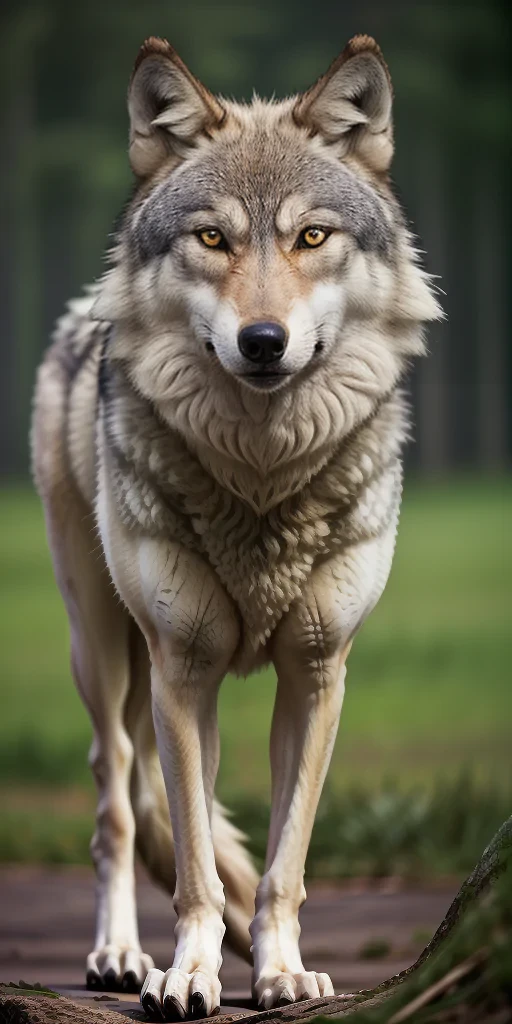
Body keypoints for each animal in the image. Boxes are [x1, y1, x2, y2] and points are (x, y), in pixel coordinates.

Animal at [32, 33, 440, 1019]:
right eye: (212, 237)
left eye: (311, 236)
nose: (263, 341)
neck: (261, 482)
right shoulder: (184, 670)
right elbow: (194, 870)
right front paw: (187, 974)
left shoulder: (317, 674)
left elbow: (287, 858)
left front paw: (283, 969)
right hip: (104, 650)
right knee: (117, 804)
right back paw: (119, 955)